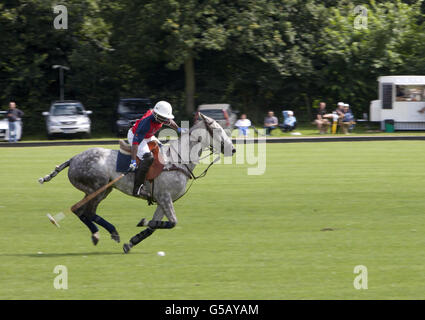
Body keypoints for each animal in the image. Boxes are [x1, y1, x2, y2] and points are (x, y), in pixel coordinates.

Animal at [39, 114, 235, 254]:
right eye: (217, 130)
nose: (233, 149)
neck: (178, 160)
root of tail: (73, 159)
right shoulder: (165, 197)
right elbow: (170, 222)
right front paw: (142, 221)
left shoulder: (163, 200)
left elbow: (156, 226)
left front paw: (131, 242)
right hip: (97, 187)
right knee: (84, 211)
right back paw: (107, 232)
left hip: (103, 190)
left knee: (81, 210)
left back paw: (101, 234)